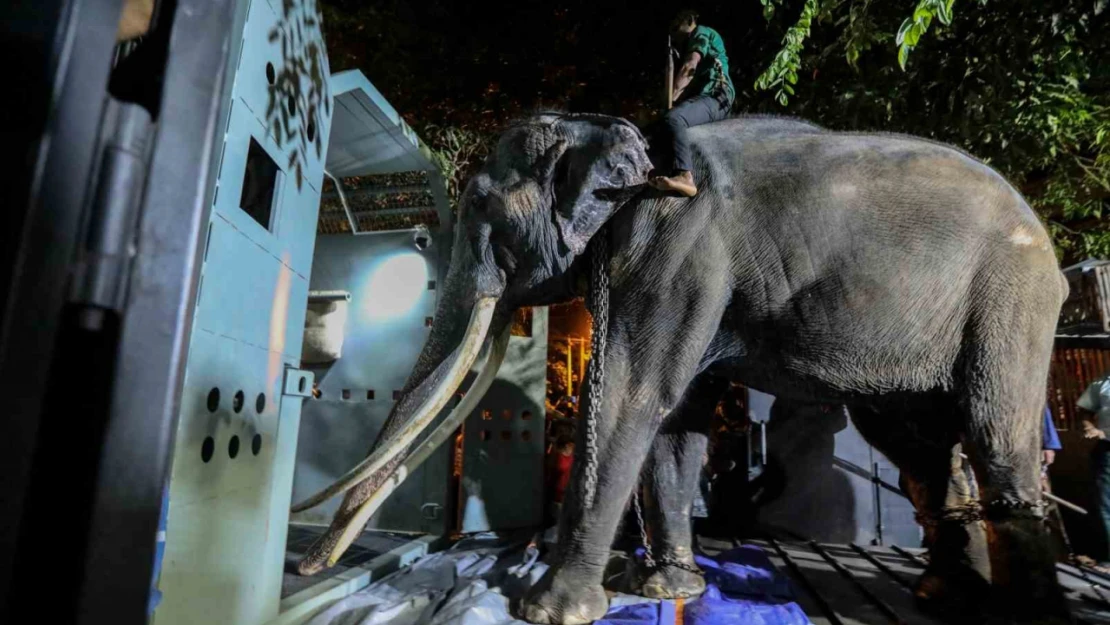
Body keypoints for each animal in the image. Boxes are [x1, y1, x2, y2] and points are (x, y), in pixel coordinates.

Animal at [290, 113, 1070, 625]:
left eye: (480, 202)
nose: (302, 567)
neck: (613, 129)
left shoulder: (675, 245)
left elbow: (634, 394)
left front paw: (551, 609)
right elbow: (677, 418)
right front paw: (665, 588)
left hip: (1013, 294)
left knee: (995, 432)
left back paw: (1024, 614)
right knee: (918, 448)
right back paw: (946, 596)